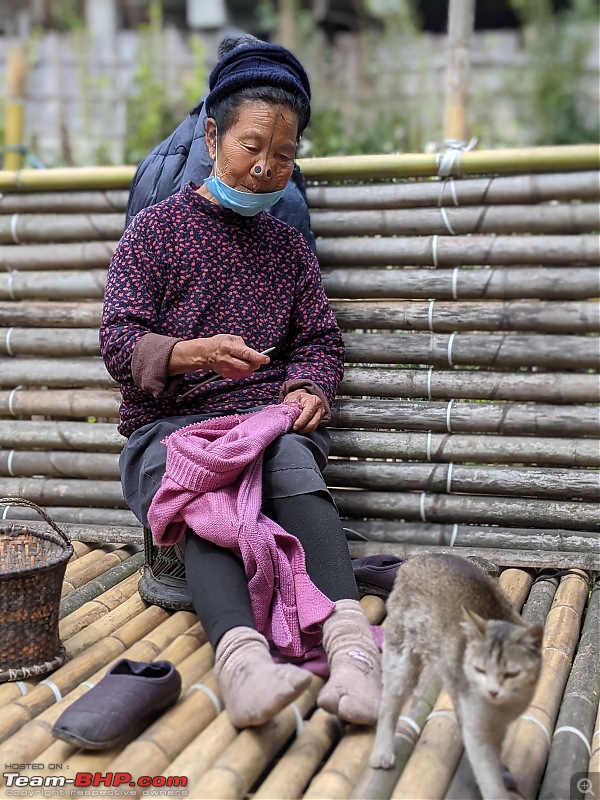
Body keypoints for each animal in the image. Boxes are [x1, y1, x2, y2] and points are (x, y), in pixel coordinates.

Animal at [370, 552, 544, 796]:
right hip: (402, 663)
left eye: (511, 674)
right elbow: (488, 776)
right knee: (389, 705)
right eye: (480, 670)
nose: (493, 691)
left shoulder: (496, 724)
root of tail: (417, 559)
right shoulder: (477, 729)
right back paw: (382, 752)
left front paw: (503, 771)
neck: (500, 709)